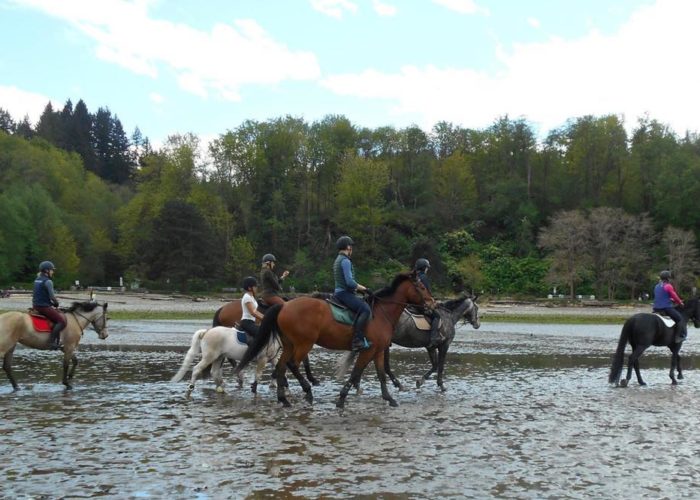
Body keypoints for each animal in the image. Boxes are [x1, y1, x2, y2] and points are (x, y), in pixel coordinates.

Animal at [232, 272, 434, 408]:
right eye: (422, 287)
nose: (432, 303)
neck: (381, 313)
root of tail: (284, 306)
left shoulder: (377, 351)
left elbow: (381, 374)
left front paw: (389, 398)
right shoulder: (368, 350)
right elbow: (355, 373)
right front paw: (341, 399)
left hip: (289, 344)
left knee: (282, 366)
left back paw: (284, 399)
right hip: (304, 343)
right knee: (293, 364)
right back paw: (307, 391)